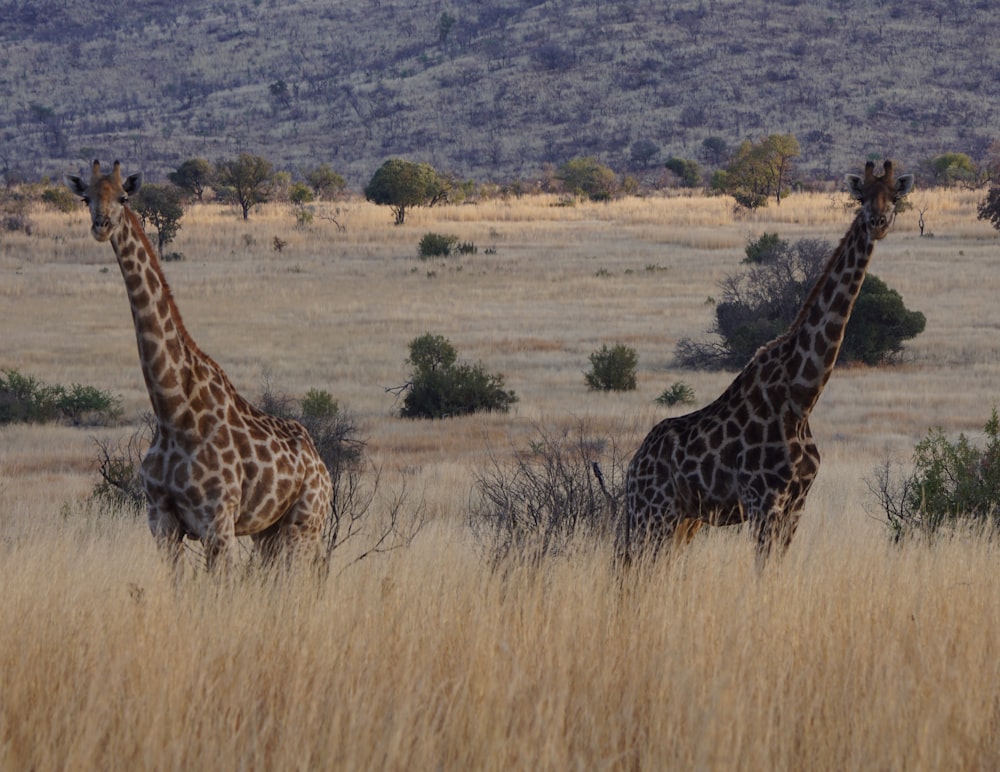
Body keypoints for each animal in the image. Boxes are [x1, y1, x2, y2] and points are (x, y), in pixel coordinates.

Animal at [64, 160, 334, 572]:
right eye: (86, 198)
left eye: (124, 197)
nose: (102, 225)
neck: (174, 412)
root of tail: (321, 465)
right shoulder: (161, 521)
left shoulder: (217, 521)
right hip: (268, 532)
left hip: (305, 523)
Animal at [620, 160, 916, 564]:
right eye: (862, 196)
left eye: (894, 196)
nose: (878, 221)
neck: (802, 396)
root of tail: (633, 467)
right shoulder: (763, 501)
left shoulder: (796, 504)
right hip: (653, 511)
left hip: (684, 520)